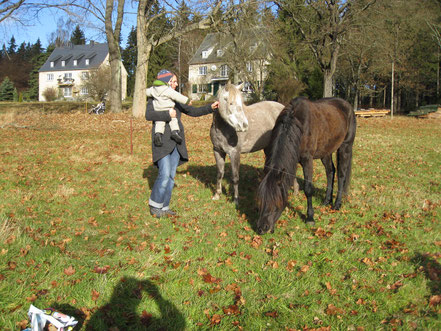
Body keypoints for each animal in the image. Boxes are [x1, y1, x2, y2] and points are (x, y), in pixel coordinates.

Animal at [256, 97, 356, 235]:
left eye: (276, 202)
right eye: (260, 200)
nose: (262, 228)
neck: (298, 126)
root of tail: (347, 105)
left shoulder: (307, 160)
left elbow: (308, 189)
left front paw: (310, 218)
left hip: (345, 146)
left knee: (341, 174)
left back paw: (336, 204)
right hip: (326, 151)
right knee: (330, 171)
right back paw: (326, 201)